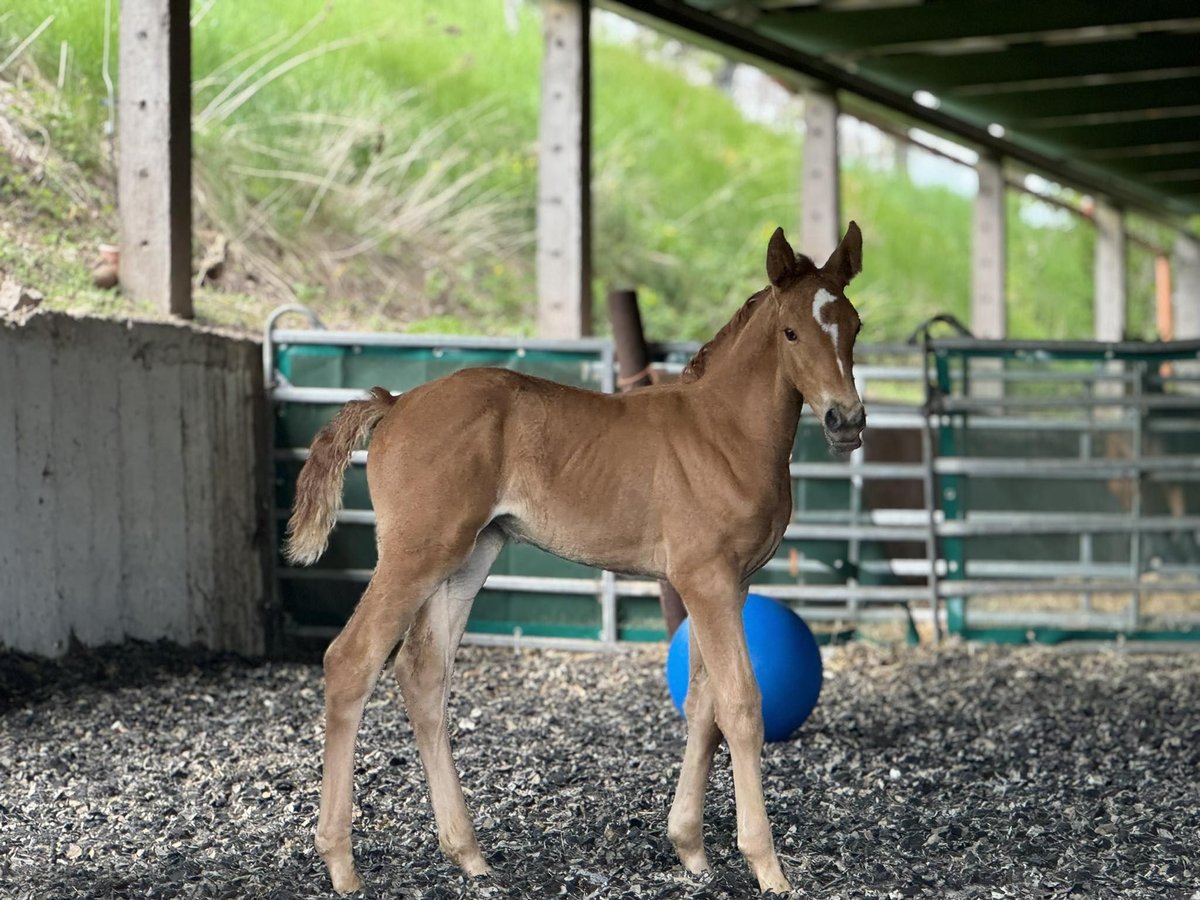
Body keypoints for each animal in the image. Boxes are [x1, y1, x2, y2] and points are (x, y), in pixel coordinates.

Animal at [285, 225, 868, 897]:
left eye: (854, 325)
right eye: (791, 332)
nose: (846, 421)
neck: (723, 432)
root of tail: (395, 401)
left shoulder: (728, 585)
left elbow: (703, 705)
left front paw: (691, 850)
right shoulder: (707, 581)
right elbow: (742, 705)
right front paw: (767, 866)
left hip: (469, 556)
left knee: (423, 672)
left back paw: (468, 854)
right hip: (417, 553)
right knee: (351, 660)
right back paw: (341, 863)